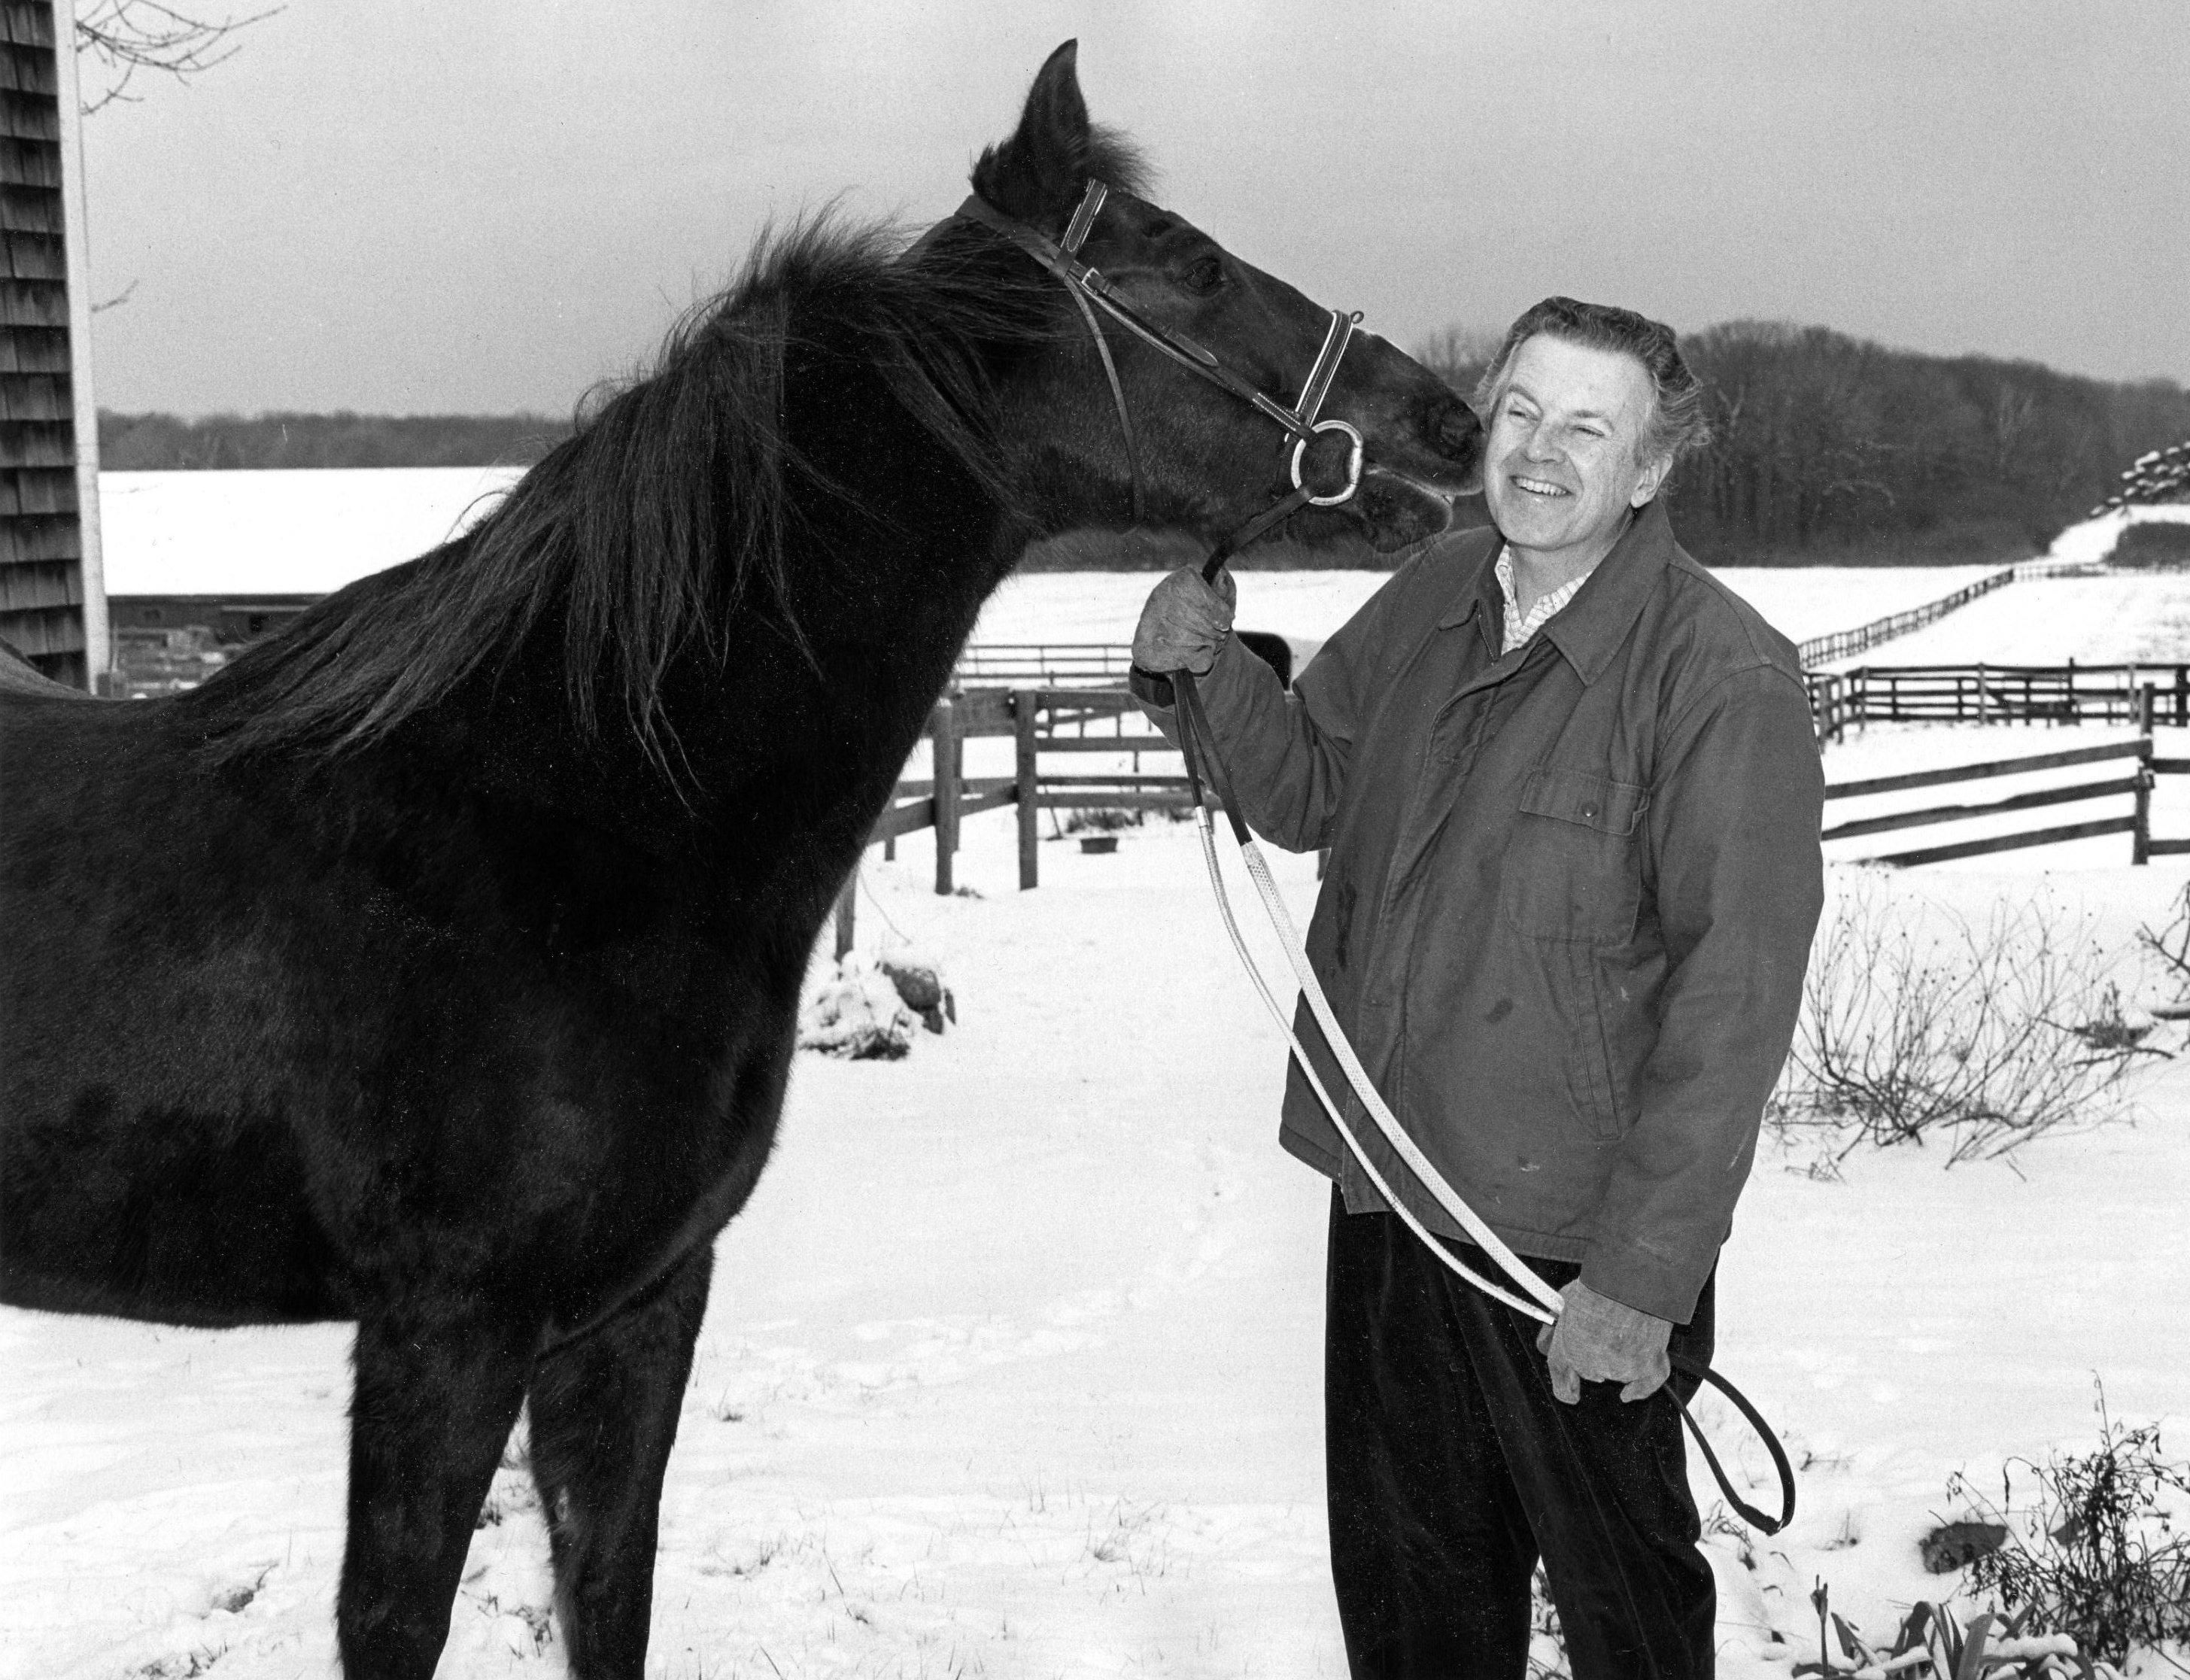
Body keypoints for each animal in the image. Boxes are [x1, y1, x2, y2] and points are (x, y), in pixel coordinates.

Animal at [4, 42, 1489, 1680]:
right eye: (1198, 267)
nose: (1448, 424)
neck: (573, 815)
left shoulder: (636, 1305)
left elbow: (610, 1590)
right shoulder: (445, 1327)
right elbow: (396, 1617)